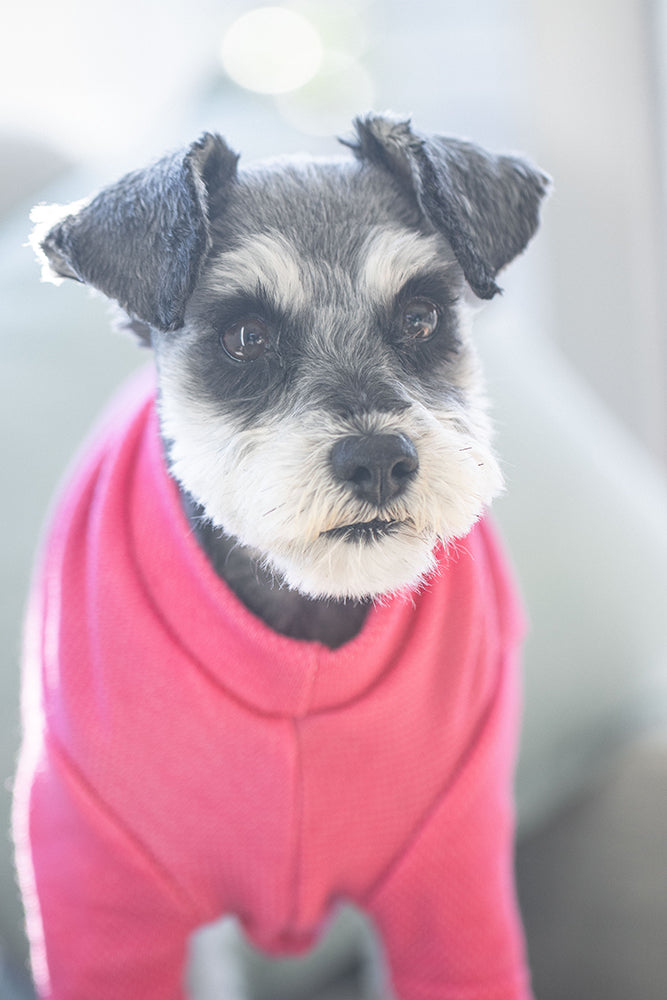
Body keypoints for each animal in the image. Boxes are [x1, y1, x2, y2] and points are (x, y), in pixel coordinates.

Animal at [14, 113, 548, 996]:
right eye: (244, 335)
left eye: (421, 316)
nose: (379, 461)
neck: (303, 628)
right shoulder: (102, 894)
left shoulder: (450, 877)